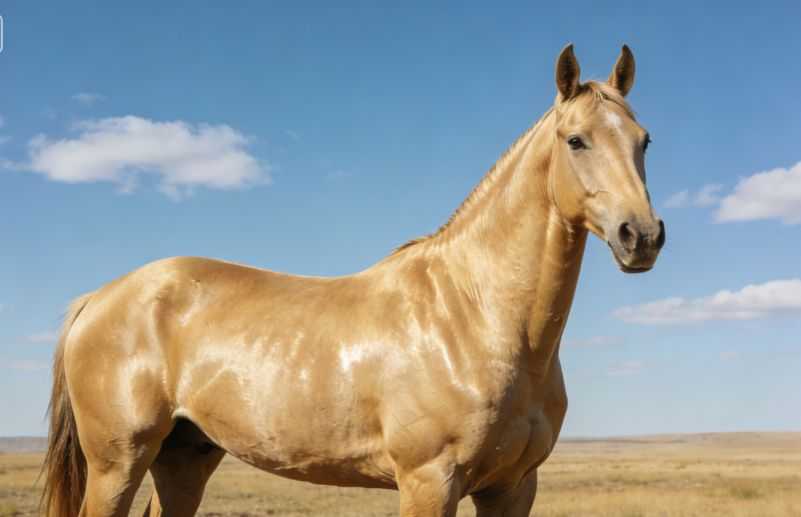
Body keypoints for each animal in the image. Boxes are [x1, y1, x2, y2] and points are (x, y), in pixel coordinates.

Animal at [41, 44, 664, 517]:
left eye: (644, 140)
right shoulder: (429, 481)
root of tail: (99, 298)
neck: (477, 314)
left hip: (184, 458)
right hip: (118, 463)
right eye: (575, 140)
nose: (642, 236)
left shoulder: (511, 488)